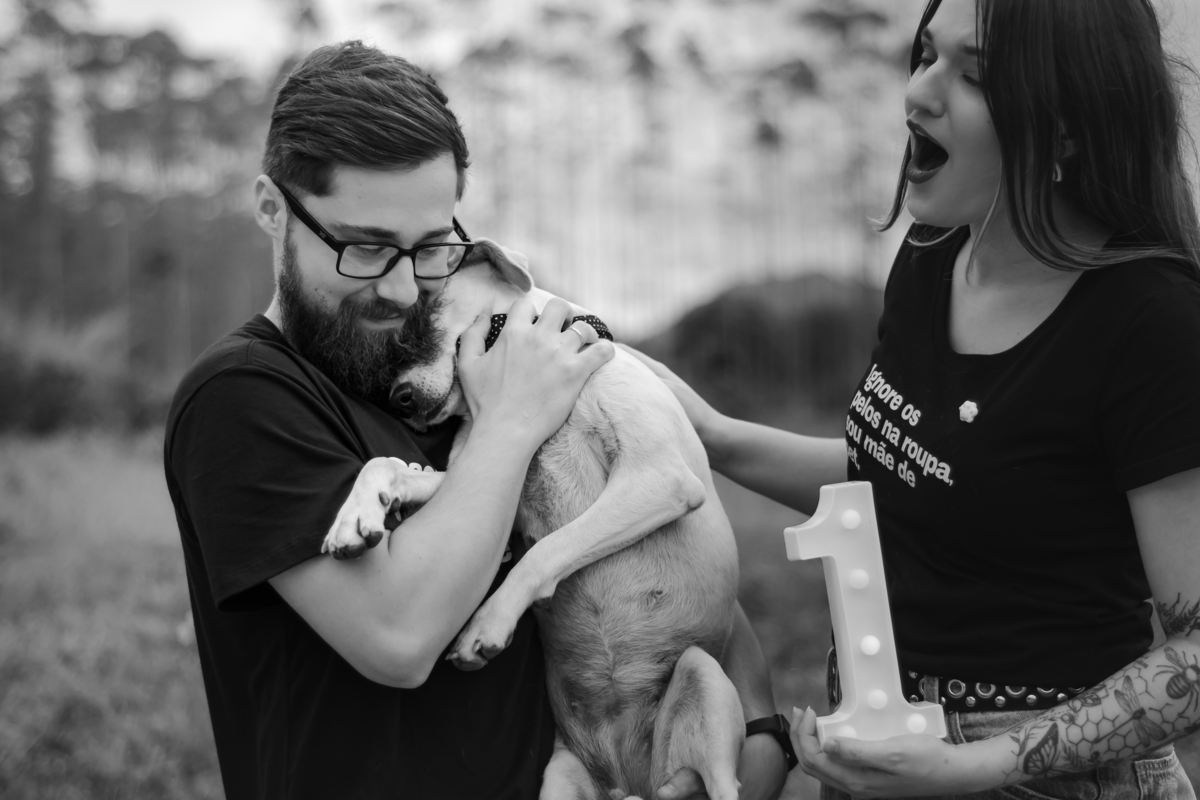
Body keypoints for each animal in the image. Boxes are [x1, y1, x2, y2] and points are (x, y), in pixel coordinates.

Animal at [322, 242, 743, 800]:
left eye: (426, 313)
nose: (398, 400)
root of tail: (630, 781)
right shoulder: (478, 476)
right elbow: (385, 465)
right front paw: (355, 518)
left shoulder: (659, 477)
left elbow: (545, 550)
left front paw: (486, 625)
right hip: (560, 777)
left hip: (704, 680)